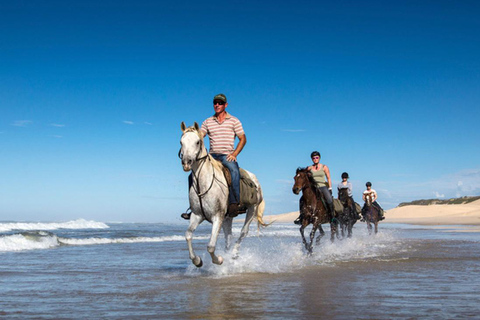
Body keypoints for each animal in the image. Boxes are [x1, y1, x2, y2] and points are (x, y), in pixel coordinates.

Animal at [181, 121, 270, 266]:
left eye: (197, 142)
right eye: (181, 142)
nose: (187, 163)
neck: (204, 183)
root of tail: (255, 180)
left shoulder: (217, 217)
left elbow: (211, 246)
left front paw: (219, 260)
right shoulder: (197, 215)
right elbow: (188, 235)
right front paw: (197, 261)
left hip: (252, 209)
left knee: (243, 232)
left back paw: (233, 254)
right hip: (228, 217)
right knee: (228, 237)